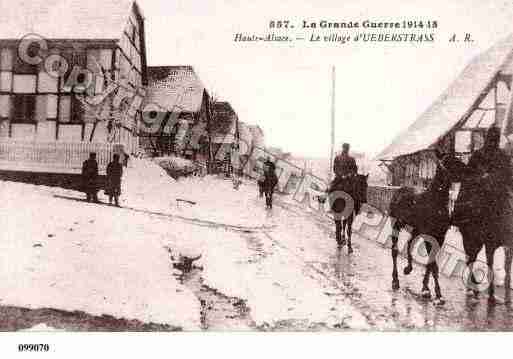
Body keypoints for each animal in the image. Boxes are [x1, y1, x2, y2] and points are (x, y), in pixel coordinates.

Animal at [388, 152, 464, 306]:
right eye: (447, 162)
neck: (435, 202)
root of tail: (399, 191)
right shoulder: (429, 236)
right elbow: (433, 264)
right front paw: (438, 295)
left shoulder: (439, 237)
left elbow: (431, 262)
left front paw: (426, 288)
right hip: (396, 224)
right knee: (394, 250)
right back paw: (395, 280)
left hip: (416, 229)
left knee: (410, 243)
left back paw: (408, 268)